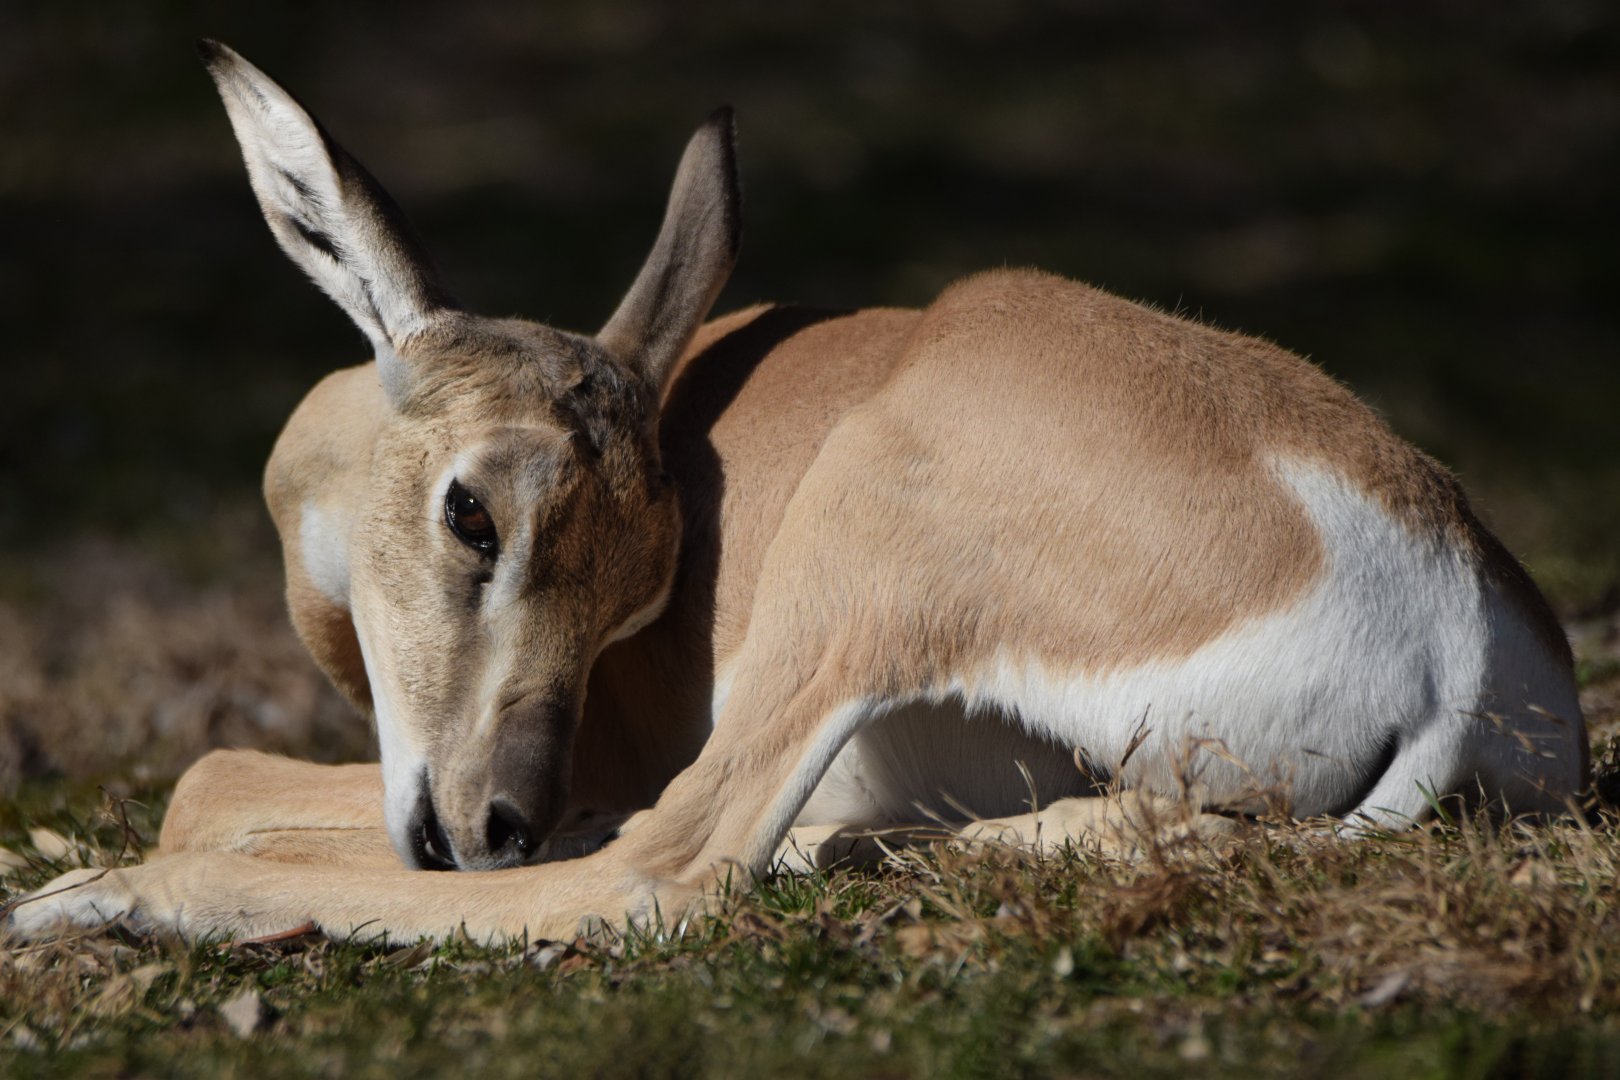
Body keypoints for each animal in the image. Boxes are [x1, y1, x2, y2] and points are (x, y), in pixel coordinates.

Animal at [7, 42, 1587, 944]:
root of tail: (1461, 626)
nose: (499, 819)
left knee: (666, 875)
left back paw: (104, 902)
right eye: (473, 515)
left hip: (853, 581)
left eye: (639, 592)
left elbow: (211, 779)